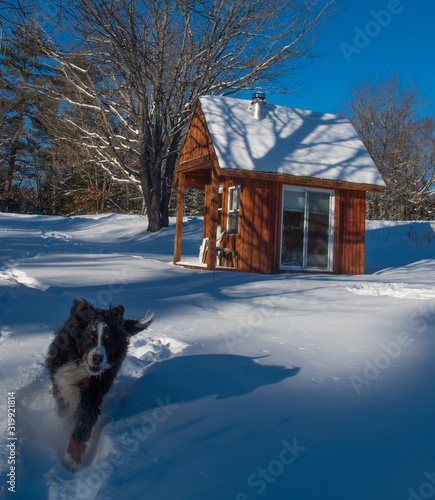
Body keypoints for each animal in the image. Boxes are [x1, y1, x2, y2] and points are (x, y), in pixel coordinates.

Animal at [47, 298, 153, 470]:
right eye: (90, 338)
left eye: (108, 339)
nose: (98, 358)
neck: (81, 364)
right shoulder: (60, 379)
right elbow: (64, 410)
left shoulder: (93, 392)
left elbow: (82, 425)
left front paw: (71, 460)